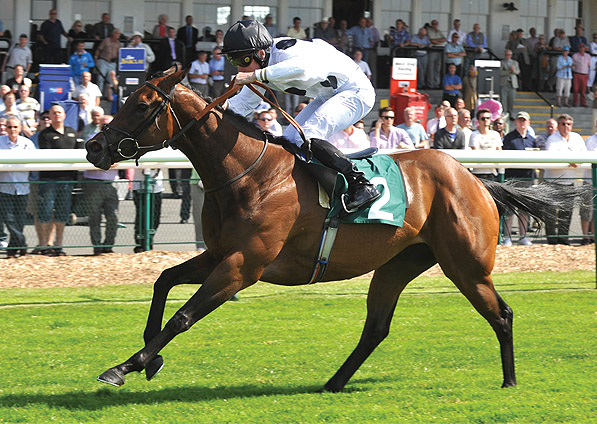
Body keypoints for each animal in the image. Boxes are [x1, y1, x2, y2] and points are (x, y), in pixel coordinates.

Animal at [87, 67, 568, 394]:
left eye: (142, 105)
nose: (94, 147)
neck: (249, 174)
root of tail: (475, 179)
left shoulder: (244, 265)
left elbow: (184, 316)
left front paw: (126, 366)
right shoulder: (221, 254)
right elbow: (163, 280)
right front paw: (149, 359)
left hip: (466, 265)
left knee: (501, 314)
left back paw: (509, 382)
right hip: (397, 264)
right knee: (376, 328)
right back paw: (334, 382)